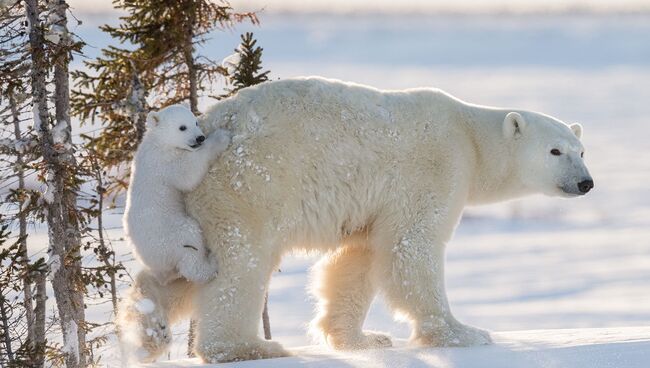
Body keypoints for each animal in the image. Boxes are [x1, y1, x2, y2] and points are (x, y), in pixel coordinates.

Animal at [159, 75, 588, 362]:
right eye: (555, 151)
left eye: (581, 150)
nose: (586, 182)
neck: (469, 136)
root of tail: (207, 123)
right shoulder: (434, 168)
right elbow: (411, 247)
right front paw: (464, 333)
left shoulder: (372, 205)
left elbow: (358, 259)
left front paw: (362, 339)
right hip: (246, 186)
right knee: (240, 266)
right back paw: (244, 347)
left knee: (179, 271)